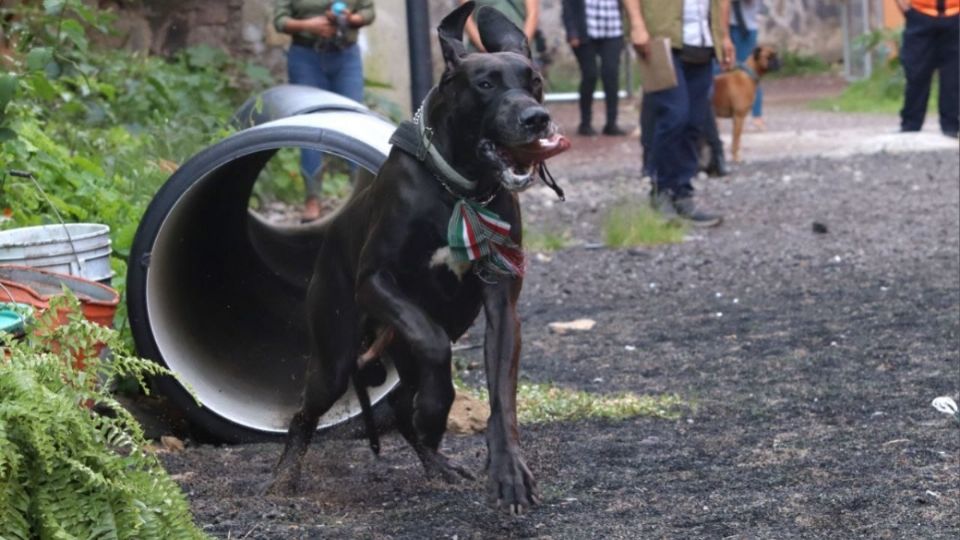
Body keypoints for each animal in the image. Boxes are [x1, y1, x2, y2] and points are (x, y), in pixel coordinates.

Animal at [268, 1, 568, 516]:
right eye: (485, 83)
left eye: (533, 80)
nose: (537, 118)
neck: (458, 189)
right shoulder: (375, 281)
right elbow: (432, 343)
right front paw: (436, 411)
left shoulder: (502, 305)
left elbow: (501, 397)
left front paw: (508, 471)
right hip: (333, 355)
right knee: (305, 413)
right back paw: (284, 478)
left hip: (407, 346)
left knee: (401, 408)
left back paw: (437, 458)